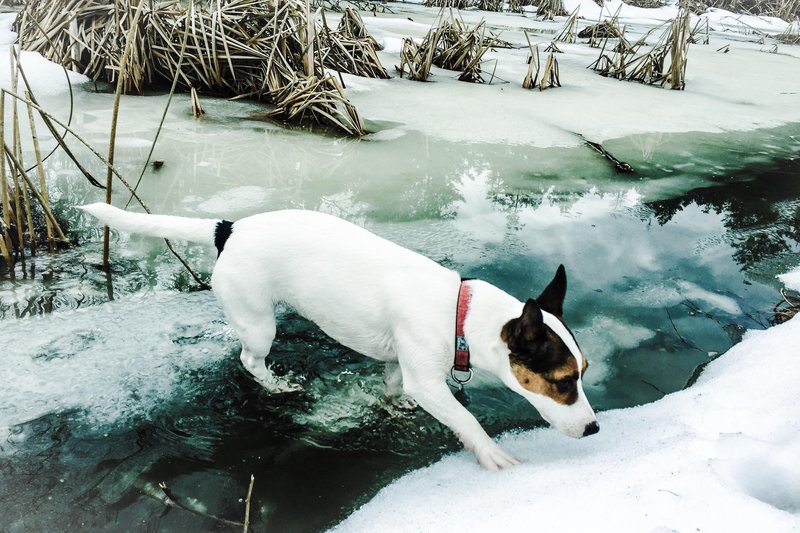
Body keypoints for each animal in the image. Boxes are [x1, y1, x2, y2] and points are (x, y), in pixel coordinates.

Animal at [81, 204, 596, 470]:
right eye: (562, 381)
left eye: (583, 372)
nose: (594, 429)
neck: (458, 312)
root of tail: (228, 228)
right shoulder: (428, 381)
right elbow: (464, 418)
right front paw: (491, 452)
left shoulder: (399, 361)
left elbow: (392, 387)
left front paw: (394, 407)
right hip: (258, 321)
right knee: (250, 360)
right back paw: (276, 384)